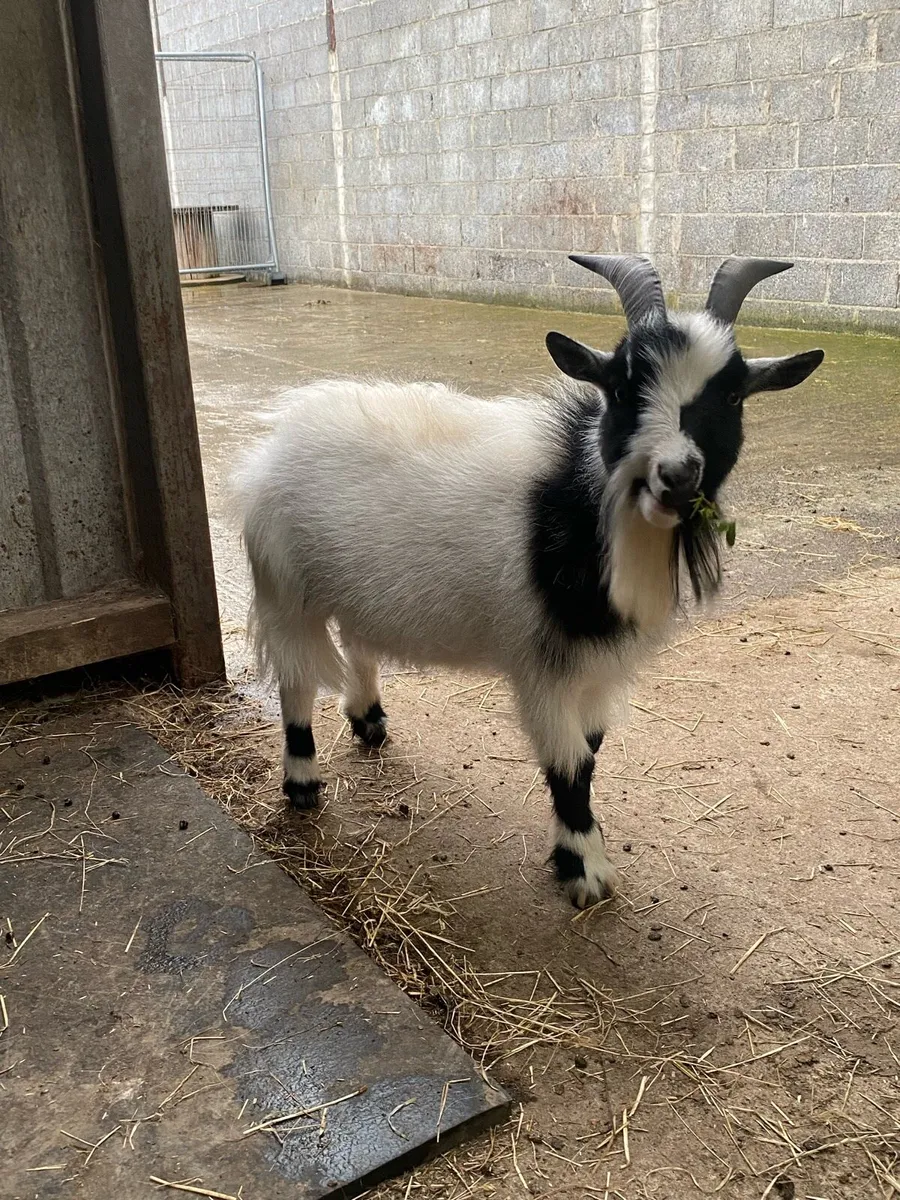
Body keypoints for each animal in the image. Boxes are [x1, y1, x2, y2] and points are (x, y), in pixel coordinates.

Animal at [236, 256, 824, 907]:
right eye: (623, 388)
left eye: (732, 394)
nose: (676, 475)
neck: (580, 503)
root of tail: (280, 433)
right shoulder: (541, 662)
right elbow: (569, 766)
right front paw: (584, 868)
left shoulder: (597, 666)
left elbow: (591, 751)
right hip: (285, 588)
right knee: (295, 681)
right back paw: (303, 784)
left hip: (350, 587)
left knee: (357, 643)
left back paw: (369, 721)